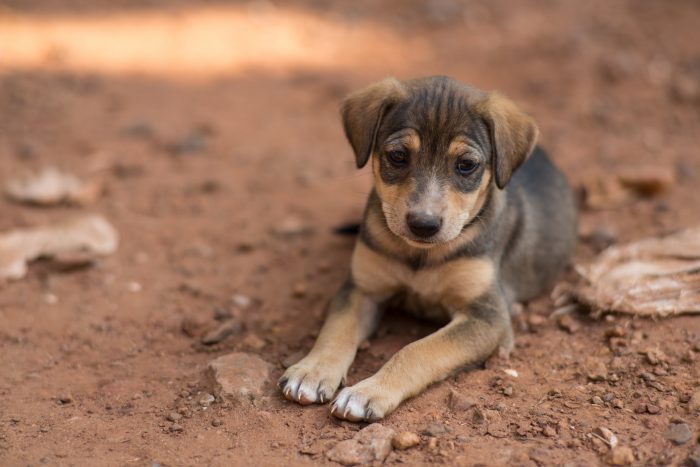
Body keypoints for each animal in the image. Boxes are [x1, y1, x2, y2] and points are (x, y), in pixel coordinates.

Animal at [276, 76, 576, 420]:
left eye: (466, 164)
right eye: (397, 155)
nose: (423, 224)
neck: (420, 255)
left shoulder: (487, 317)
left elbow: (418, 350)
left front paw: (368, 392)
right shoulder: (361, 289)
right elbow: (335, 329)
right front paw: (311, 371)